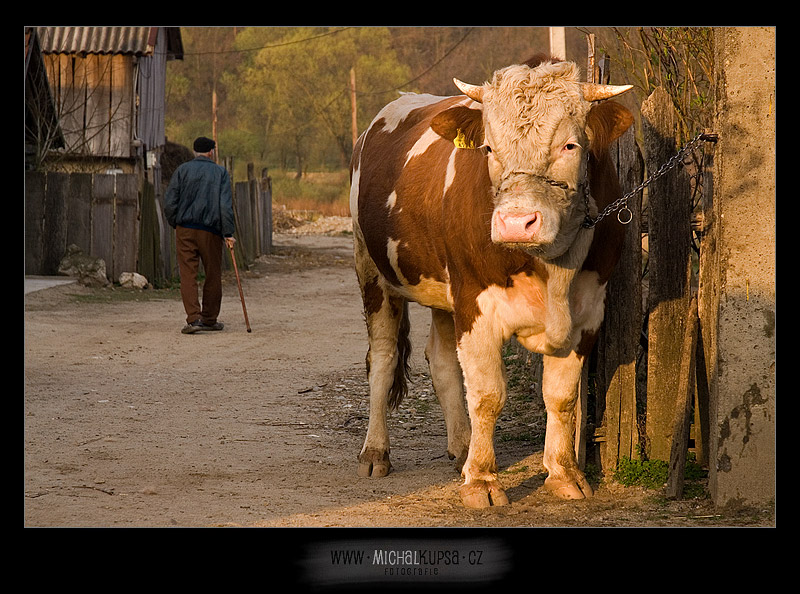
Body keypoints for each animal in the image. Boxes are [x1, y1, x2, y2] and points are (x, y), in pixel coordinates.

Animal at [348, 57, 632, 506]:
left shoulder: (589, 312)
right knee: (384, 358)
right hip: (372, 272)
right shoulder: (476, 303)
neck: (554, 270)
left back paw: (462, 446)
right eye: (489, 149)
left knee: (441, 360)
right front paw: (482, 480)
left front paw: (564, 474)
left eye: (570, 146)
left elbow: (562, 396)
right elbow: (486, 396)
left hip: (444, 294)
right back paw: (376, 452)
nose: (516, 222)